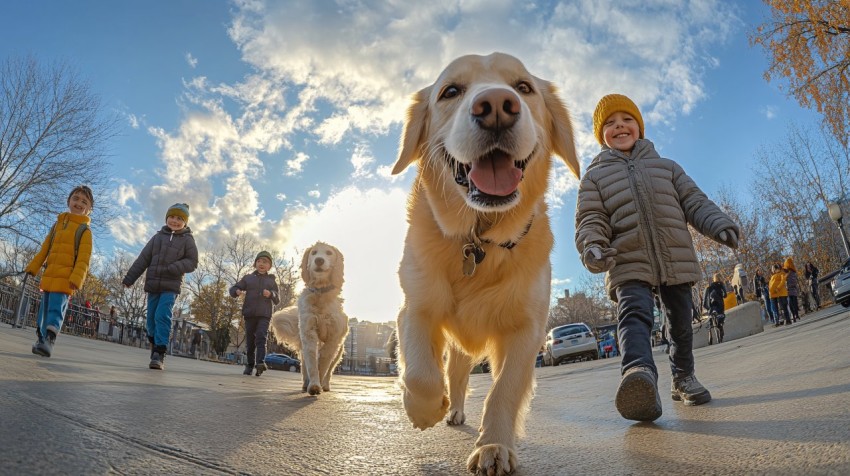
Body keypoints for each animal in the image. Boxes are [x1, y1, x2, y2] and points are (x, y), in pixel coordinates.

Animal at [270, 242, 346, 394]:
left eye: (329, 252)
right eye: (314, 252)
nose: (319, 260)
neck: (320, 294)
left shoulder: (333, 338)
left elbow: (324, 364)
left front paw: (319, 383)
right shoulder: (308, 332)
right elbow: (312, 363)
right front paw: (314, 385)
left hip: (339, 349)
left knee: (330, 369)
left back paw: (325, 385)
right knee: (305, 364)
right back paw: (306, 384)